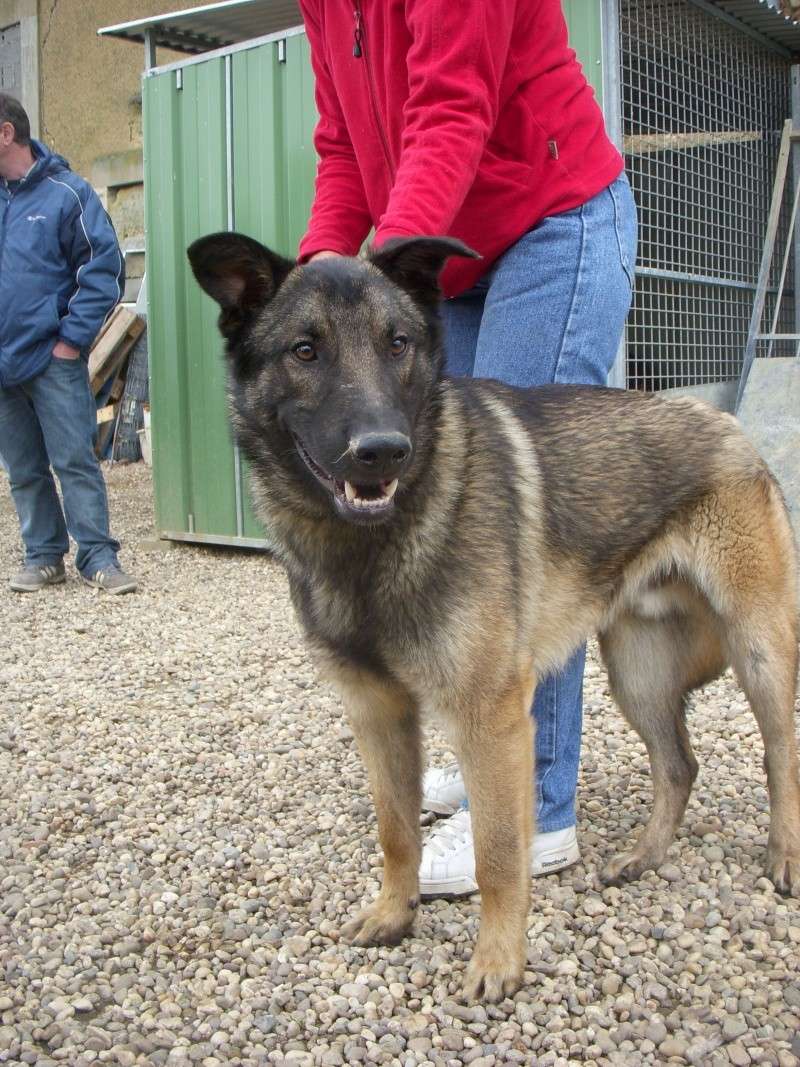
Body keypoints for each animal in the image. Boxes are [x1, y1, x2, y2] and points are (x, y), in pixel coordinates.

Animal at [189, 231, 800, 998]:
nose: (383, 450)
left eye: (397, 343)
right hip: (638, 674)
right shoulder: (377, 713)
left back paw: (785, 854)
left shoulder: (493, 718)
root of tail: (727, 422)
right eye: (305, 350)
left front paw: (499, 958)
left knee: (781, 753)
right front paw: (394, 912)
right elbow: (396, 830)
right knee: (679, 764)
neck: (372, 543)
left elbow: (500, 851)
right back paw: (645, 856)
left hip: (759, 651)